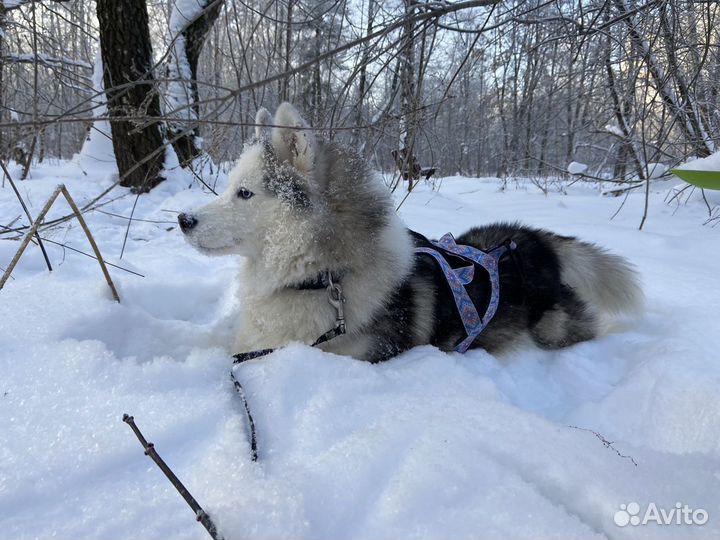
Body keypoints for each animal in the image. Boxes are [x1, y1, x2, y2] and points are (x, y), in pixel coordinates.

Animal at [180, 102, 640, 362]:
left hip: (551, 329)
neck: (322, 280)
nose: (183, 220)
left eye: (245, 193)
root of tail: (529, 239)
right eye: (227, 187)